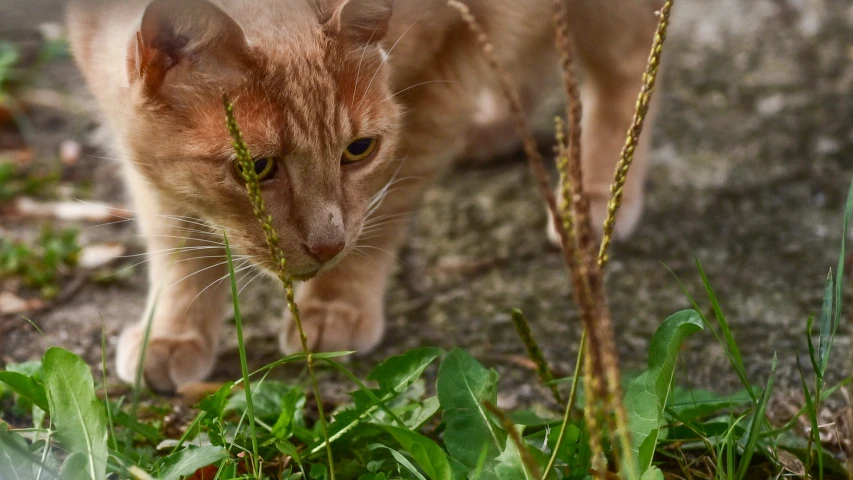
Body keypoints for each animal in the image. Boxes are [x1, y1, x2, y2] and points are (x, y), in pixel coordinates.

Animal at [70, 0, 664, 390]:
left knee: (628, 75)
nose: (327, 245)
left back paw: (593, 197)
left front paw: (338, 301)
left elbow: (386, 211)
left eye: (359, 150)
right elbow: (176, 239)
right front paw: (173, 332)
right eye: (256, 167)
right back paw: (496, 129)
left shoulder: (444, 75)